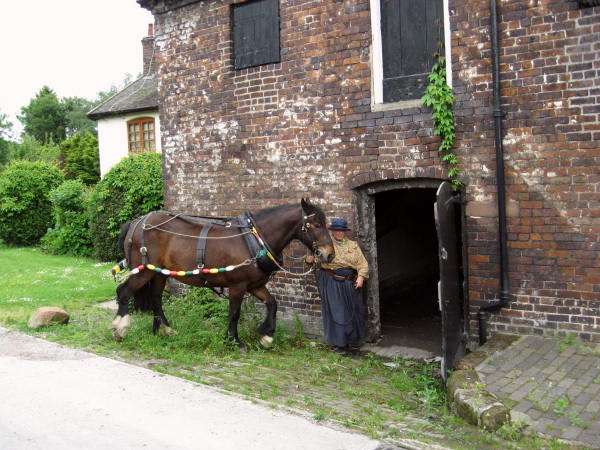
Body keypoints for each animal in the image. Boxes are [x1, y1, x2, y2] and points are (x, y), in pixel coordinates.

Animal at [111, 200, 332, 348]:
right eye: (316, 224)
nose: (329, 254)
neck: (256, 239)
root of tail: (136, 223)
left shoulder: (255, 285)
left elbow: (272, 303)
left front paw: (266, 336)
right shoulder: (238, 285)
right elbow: (234, 312)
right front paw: (234, 340)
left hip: (159, 274)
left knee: (156, 298)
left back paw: (164, 329)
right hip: (144, 271)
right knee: (123, 291)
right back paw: (120, 328)